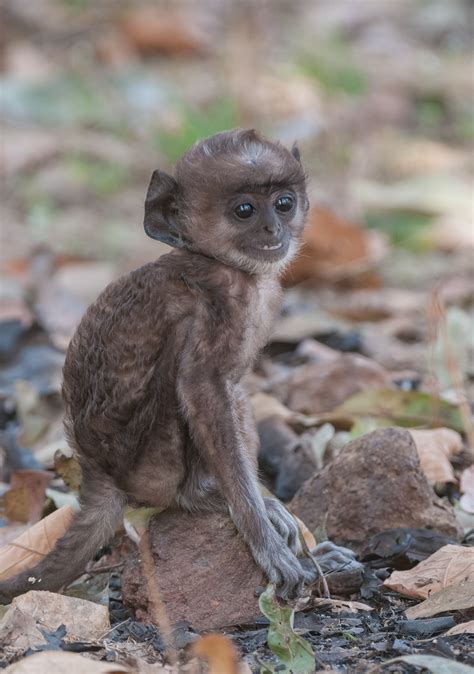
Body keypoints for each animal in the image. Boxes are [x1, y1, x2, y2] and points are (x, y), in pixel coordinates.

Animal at [0, 129, 314, 600]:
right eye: (244, 210)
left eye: (283, 203)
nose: (273, 228)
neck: (220, 264)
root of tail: (99, 472)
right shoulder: (214, 304)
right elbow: (202, 387)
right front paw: (260, 533)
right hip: (150, 465)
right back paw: (201, 494)